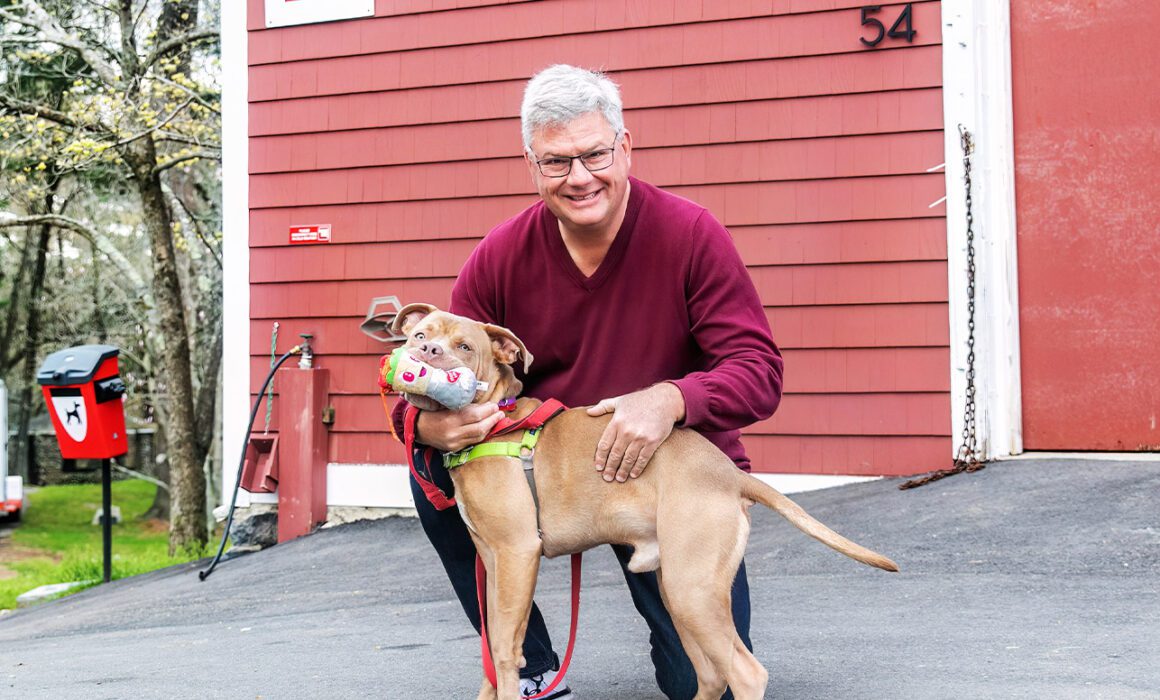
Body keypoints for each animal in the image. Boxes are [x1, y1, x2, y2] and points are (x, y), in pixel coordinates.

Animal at [389, 304, 895, 700]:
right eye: (420, 335)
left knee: (746, 673)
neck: (498, 422)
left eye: (464, 347)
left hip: (692, 589)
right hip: (680, 590)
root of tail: (729, 473)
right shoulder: (493, 564)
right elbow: (493, 651)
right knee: (710, 674)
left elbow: (504, 652)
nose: (427, 353)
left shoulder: (517, 553)